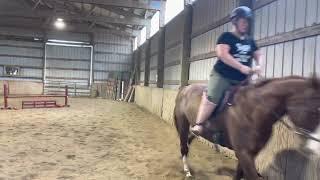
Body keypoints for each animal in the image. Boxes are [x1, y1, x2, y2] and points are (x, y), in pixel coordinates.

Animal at [174, 75, 320, 180]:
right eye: (316, 110)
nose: (316, 148)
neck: (253, 111)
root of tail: (185, 88)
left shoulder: (249, 154)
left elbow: (239, 175)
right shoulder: (243, 154)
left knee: (189, 139)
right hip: (183, 124)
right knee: (183, 146)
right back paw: (187, 171)